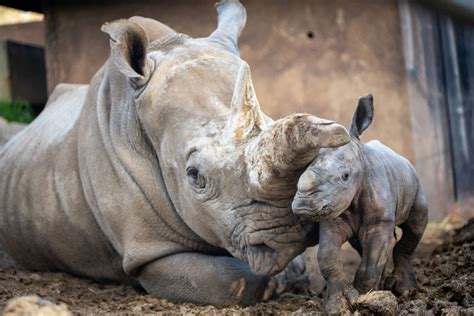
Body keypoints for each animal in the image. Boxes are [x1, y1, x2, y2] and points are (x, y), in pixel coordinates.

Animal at [0, 0, 348, 306]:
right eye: (194, 176)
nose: (288, 237)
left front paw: (297, 269)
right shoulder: (149, 251)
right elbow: (228, 279)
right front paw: (282, 278)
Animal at [292, 95, 430, 312]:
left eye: (345, 176)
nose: (304, 206)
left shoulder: (380, 220)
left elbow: (371, 260)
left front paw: (366, 300)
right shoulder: (332, 215)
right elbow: (327, 257)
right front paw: (338, 304)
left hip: (415, 183)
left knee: (415, 226)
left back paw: (404, 290)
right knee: (361, 244)